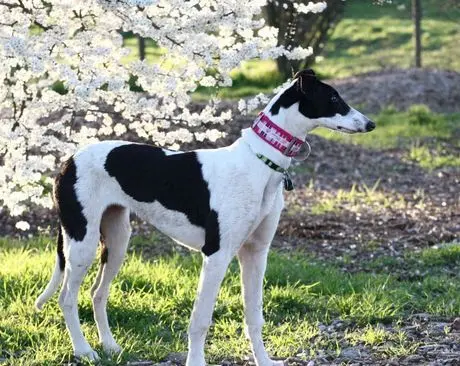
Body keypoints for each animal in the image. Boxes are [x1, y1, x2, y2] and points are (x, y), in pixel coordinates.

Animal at [35, 69, 374, 366]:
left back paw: (109, 346)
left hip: (117, 241)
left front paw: (264, 360)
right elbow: (200, 319)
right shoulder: (216, 255)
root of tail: (68, 160)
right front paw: (196, 362)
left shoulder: (255, 253)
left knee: (97, 293)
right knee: (67, 297)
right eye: (333, 98)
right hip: (82, 242)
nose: (370, 124)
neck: (259, 163)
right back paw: (83, 351)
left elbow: (255, 316)